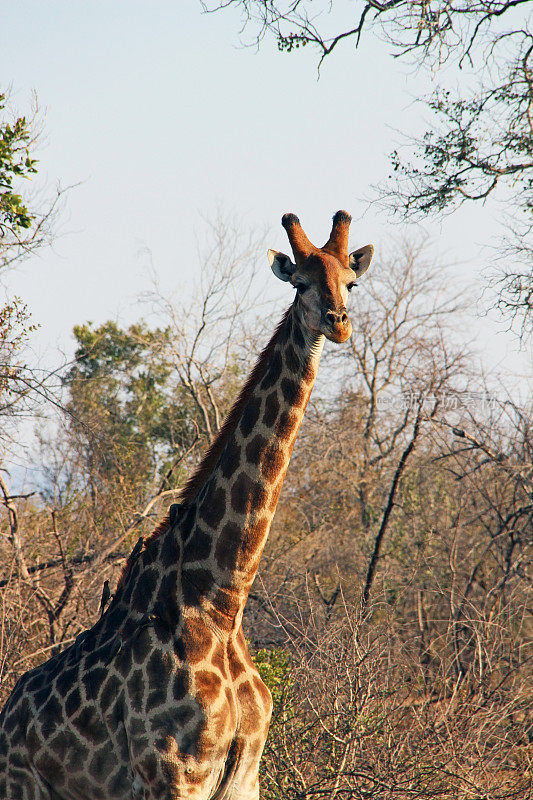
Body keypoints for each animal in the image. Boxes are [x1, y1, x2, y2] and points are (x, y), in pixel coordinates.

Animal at [0, 212, 372, 800]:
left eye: (351, 283)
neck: (219, 602)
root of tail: (5, 721)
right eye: (301, 283)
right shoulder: (175, 774)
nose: (338, 323)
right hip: (24, 787)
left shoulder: (245, 775)